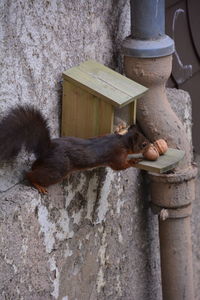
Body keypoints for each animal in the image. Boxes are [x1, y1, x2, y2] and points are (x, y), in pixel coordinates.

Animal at [0, 105, 149, 195]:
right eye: (143, 144)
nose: (150, 145)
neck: (122, 141)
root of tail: (48, 149)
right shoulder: (117, 154)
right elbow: (120, 166)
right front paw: (134, 161)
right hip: (58, 169)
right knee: (30, 174)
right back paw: (37, 184)